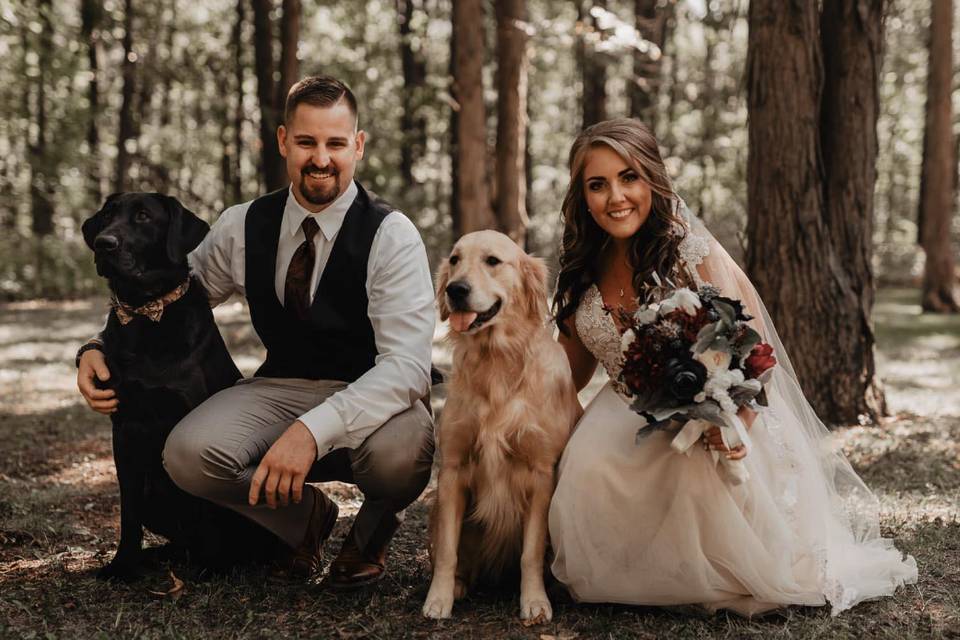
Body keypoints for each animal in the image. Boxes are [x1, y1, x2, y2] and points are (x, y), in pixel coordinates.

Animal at [82, 190, 278, 580]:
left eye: (143, 216)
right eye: (107, 215)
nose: (103, 243)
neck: (145, 314)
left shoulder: (191, 422)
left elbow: (206, 508)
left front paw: (212, 568)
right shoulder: (124, 429)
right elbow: (128, 513)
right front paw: (123, 565)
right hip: (152, 493)